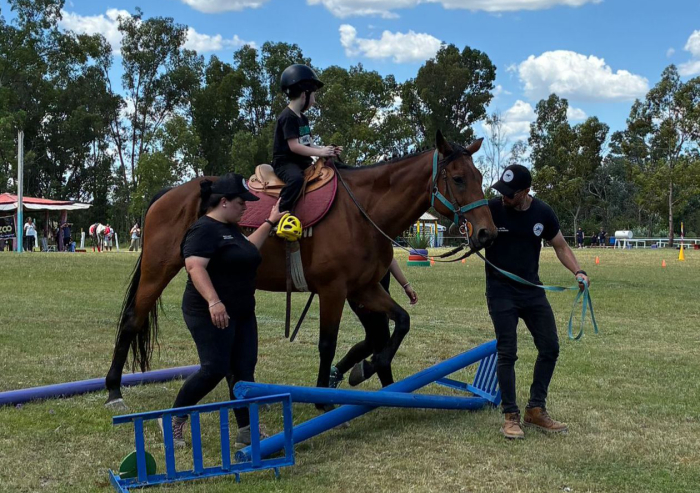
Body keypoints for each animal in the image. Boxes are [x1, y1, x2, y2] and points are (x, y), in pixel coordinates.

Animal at [105, 131, 497, 410]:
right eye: (458, 178)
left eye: (479, 176)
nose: (486, 233)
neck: (362, 211)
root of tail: (169, 193)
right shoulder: (334, 290)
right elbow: (327, 343)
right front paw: (326, 396)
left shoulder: (365, 289)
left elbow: (400, 322)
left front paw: (368, 369)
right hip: (157, 271)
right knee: (131, 320)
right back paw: (112, 391)